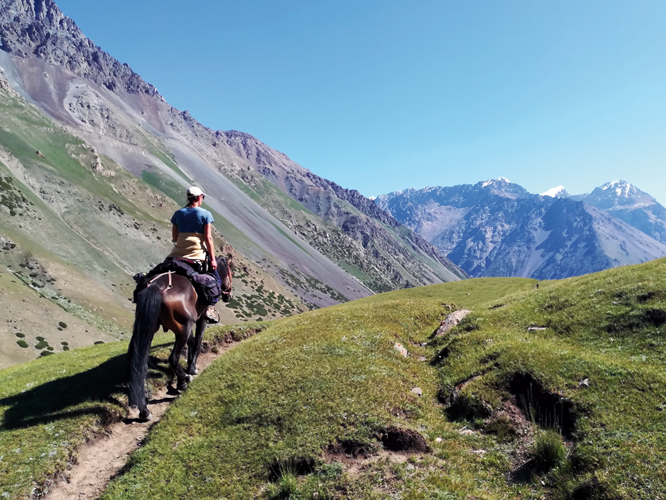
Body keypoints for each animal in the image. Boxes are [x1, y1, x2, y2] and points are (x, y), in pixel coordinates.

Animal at [126, 256, 231, 420]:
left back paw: (144, 410)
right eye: (230, 272)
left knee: (140, 363)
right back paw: (183, 381)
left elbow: (192, 341)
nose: (228, 295)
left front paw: (189, 365)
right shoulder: (201, 319)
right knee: (173, 358)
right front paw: (192, 368)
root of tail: (156, 287)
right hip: (182, 329)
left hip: (149, 327)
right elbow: (197, 341)